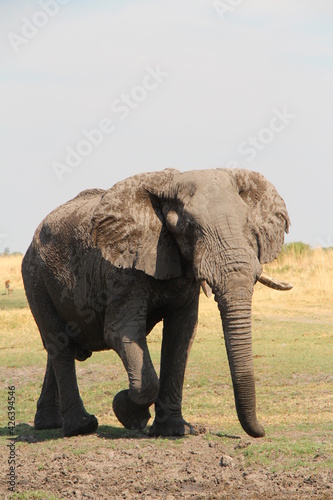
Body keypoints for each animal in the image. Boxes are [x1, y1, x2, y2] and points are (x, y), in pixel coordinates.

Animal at [21, 168, 290, 438]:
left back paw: (49, 424)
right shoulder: (123, 268)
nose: (262, 430)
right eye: (189, 226)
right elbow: (120, 333)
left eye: (247, 224)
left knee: (56, 347)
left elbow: (181, 334)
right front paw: (129, 414)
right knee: (60, 346)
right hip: (35, 278)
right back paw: (81, 426)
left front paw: (173, 430)